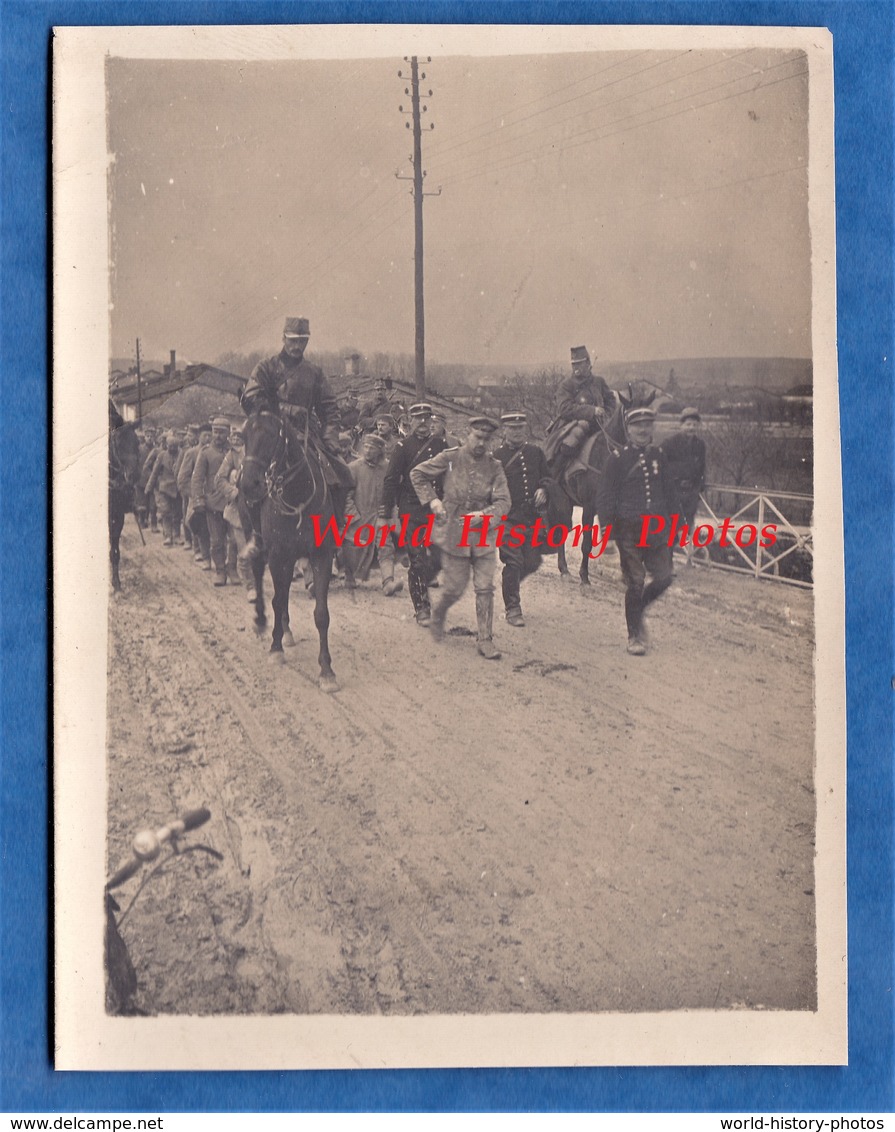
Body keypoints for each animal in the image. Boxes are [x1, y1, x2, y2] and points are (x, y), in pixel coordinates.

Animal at [239, 407, 341, 688]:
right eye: (244, 436)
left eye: (272, 436)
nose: (248, 484)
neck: (297, 496)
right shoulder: (277, 555)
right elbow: (277, 599)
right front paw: (276, 649)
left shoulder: (321, 555)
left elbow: (321, 613)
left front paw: (326, 670)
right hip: (262, 545)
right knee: (262, 576)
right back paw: (263, 622)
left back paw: (285, 631)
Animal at [545, 398, 629, 588]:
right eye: (631, 417)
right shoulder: (589, 507)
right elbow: (586, 544)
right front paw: (584, 577)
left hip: (566, 501)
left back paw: (564, 569)